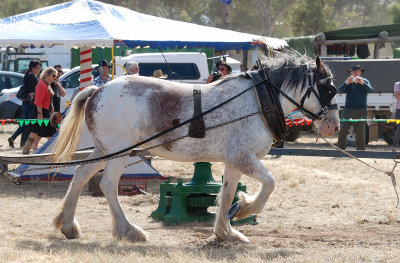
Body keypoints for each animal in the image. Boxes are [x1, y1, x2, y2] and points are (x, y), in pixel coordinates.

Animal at [51, 54, 340, 244]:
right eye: (329, 88)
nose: (334, 126)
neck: (258, 101)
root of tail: (97, 90)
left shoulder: (234, 161)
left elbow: (227, 193)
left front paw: (226, 231)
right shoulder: (243, 157)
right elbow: (269, 183)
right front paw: (245, 209)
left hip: (104, 150)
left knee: (81, 174)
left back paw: (68, 224)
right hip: (121, 152)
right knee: (108, 185)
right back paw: (128, 230)